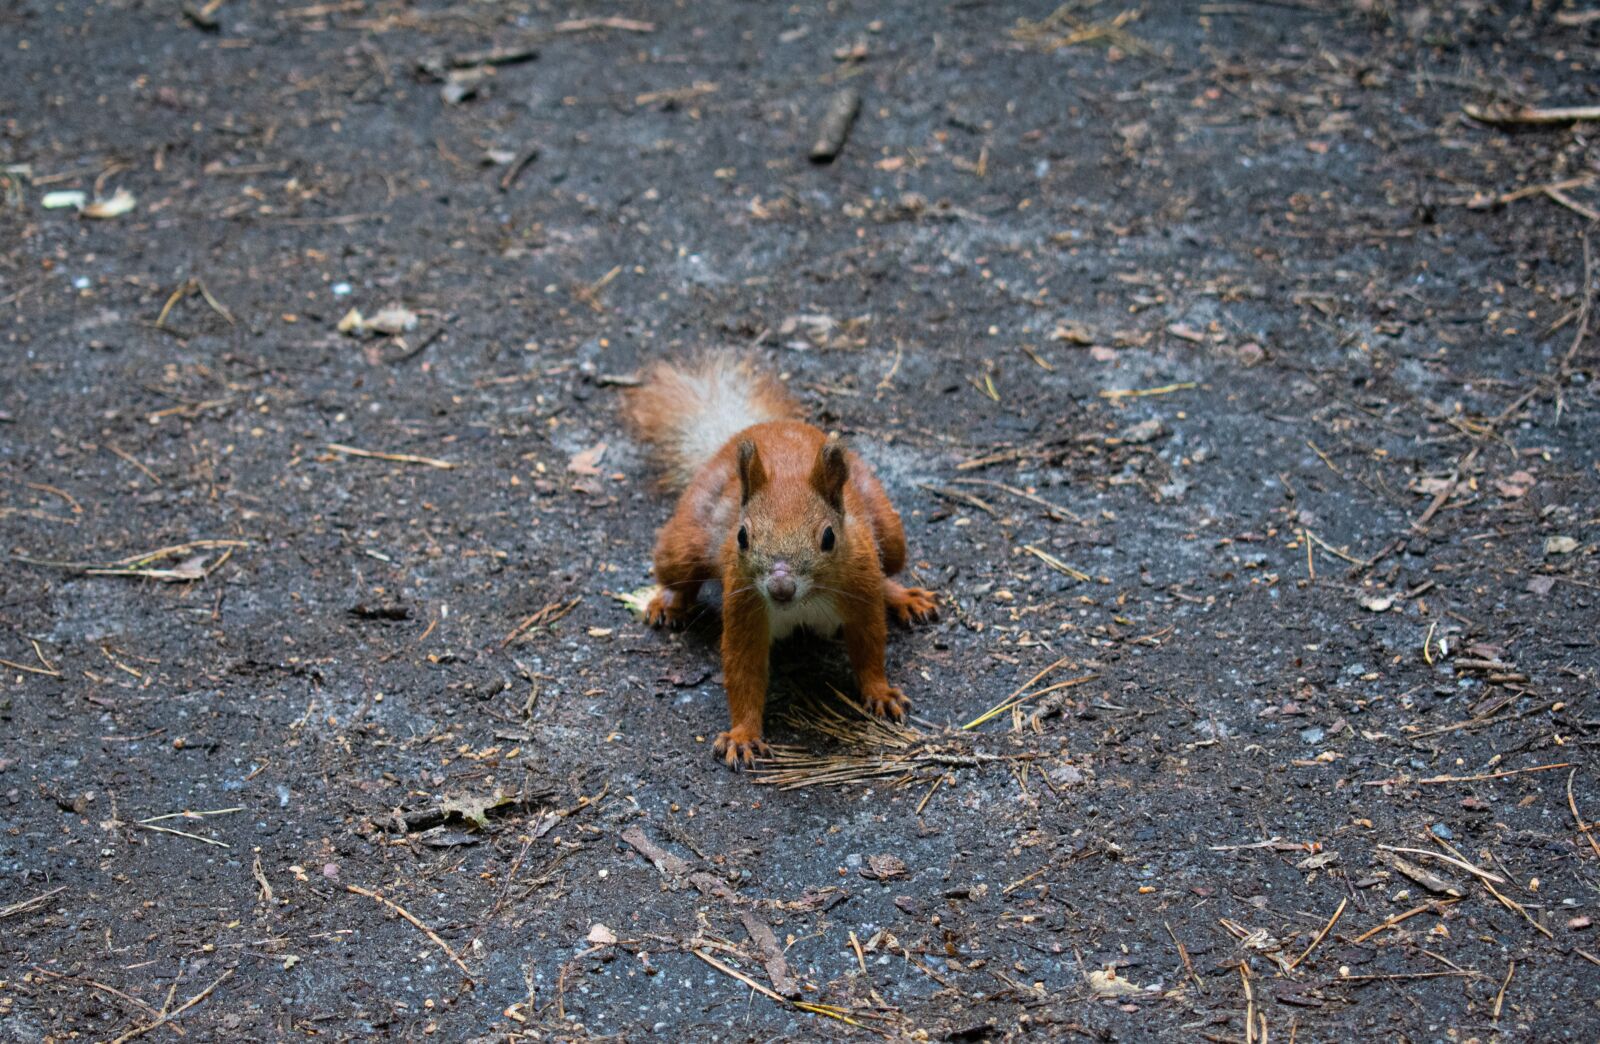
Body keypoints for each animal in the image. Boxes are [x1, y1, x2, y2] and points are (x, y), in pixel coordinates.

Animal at [624, 355, 938, 769]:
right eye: (741, 536)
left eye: (829, 537)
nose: (780, 587)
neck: (804, 602)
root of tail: (762, 427)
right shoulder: (744, 600)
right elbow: (743, 667)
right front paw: (743, 735)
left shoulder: (860, 583)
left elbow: (870, 644)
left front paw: (881, 693)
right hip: (686, 539)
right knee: (680, 574)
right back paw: (668, 602)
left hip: (888, 528)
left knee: (890, 565)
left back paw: (905, 597)